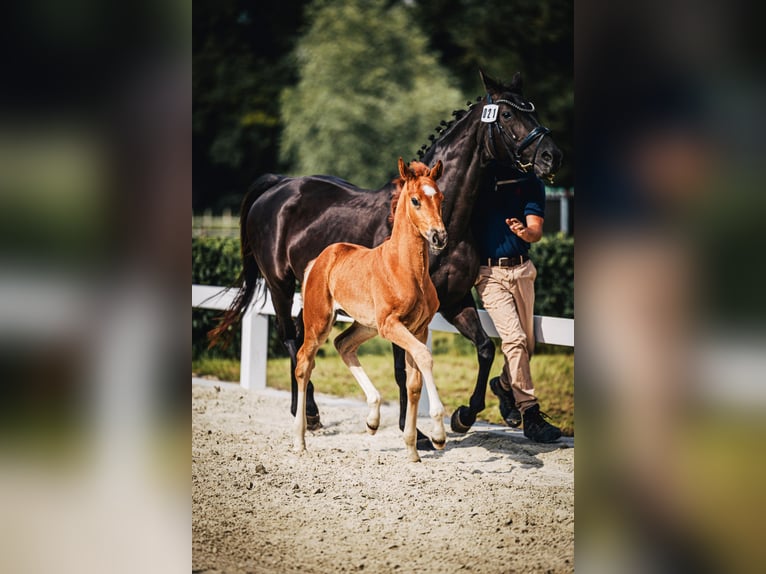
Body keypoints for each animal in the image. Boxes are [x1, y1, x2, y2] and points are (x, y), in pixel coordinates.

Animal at [294, 159, 450, 464]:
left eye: (440, 198)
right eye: (415, 200)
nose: (439, 237)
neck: (407, 269)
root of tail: (319, 260)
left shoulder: (418, 328)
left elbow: (413, 384)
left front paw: (412, 448)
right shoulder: (391, 325)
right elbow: (425, 357)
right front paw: (438, 434)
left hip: (366, 325)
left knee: (343, 344)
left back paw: (373, 418)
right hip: (320, 322)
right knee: (303, 363)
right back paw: (299, 441)